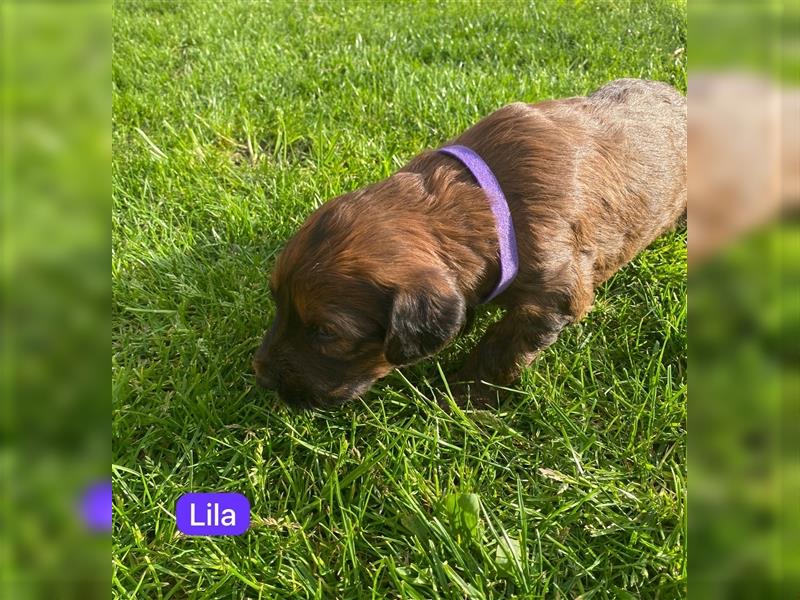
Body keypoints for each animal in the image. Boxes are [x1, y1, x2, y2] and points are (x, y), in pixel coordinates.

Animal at [253, 78, 684, 408]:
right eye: (276, 301)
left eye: (326, 333)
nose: (261, 378)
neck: (490, 204)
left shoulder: (553, 295)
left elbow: (500, 349)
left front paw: (463, 399)